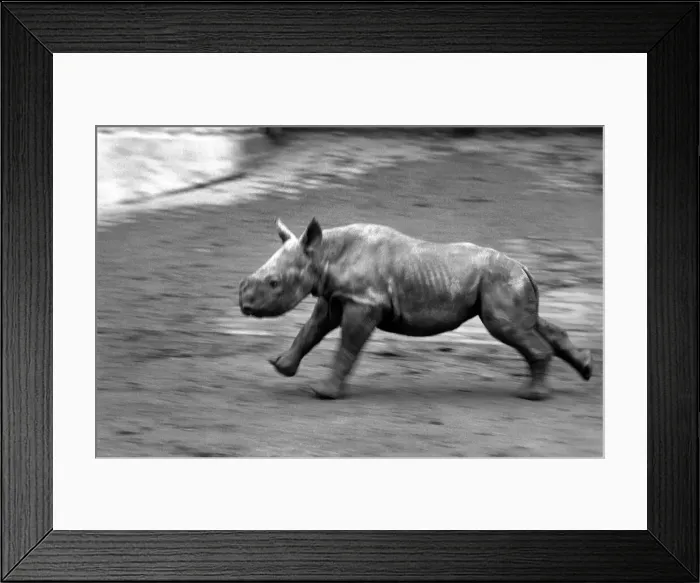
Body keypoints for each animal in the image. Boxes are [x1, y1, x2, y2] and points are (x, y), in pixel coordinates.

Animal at [239, 217, 593, 400]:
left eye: (273, 283)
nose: (243, 304)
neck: (324, 255)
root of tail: (524, 266)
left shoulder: (364, 301)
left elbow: (347, 345)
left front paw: (324, 393)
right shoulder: (336, 296)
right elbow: (310, 330)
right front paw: (281, 367)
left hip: (500, 280)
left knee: (508, 326)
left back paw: (531, 395)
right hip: (506, 282)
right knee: (528, 322)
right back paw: (585, 370)